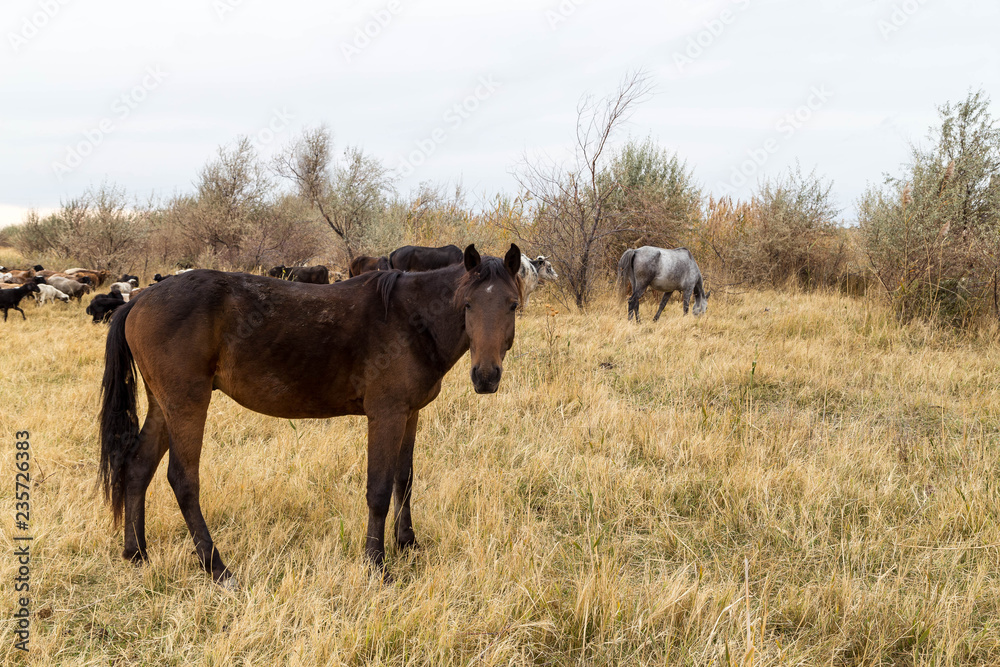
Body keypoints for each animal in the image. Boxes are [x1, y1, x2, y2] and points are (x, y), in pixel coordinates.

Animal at [99, 244, 523, 587]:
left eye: (512, 305)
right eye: (468, 304)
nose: (486, 377)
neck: (410, 317)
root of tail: (137, 301)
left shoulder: (409, 414)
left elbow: (405, 480)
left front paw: (408, 543)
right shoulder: (385, 415)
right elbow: (379, 490)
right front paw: (377, 565)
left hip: (163, 406)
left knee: (137, 468)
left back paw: (136, 553)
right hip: (187, 405)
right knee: (183, 480)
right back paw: (217, 568)